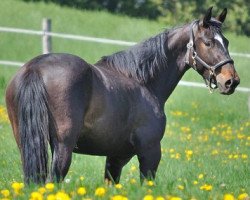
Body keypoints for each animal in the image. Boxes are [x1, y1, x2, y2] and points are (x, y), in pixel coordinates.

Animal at [5, 7, 240, 184]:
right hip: (63, 147)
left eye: (227, 42)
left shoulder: (116, 157)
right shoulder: (149, 153)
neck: (143, 82)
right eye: (208, 42)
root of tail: (35, 68)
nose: (231, 81)